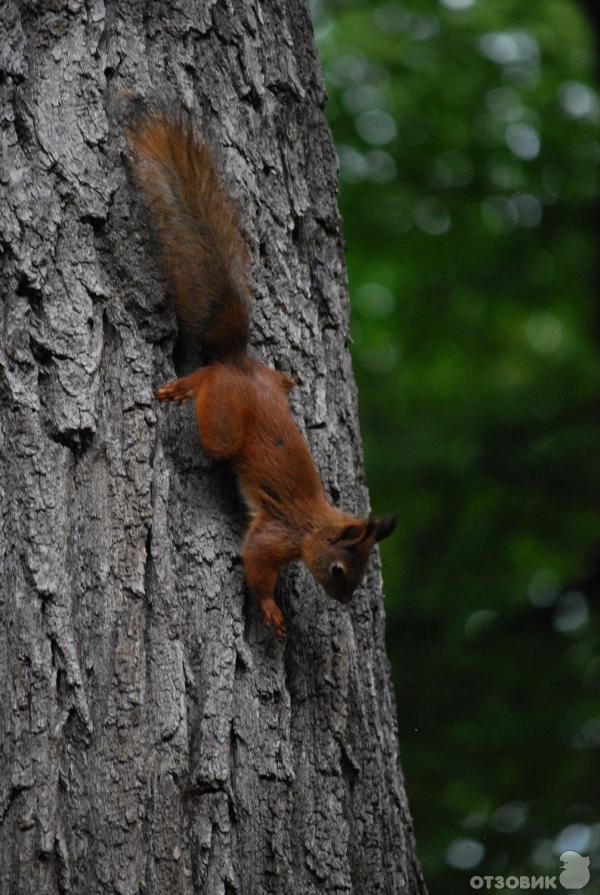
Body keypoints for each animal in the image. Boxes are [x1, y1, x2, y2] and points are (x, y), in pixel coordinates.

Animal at [125, 112, 396, 640]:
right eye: (339, 570)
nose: (344, 600)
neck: (313, 526)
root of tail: (239, 365)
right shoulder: (276, 533)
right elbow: (253, 561)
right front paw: (270, 607)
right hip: (225, 423)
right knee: (210, 391)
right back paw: (187, 385)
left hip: (263, 384)